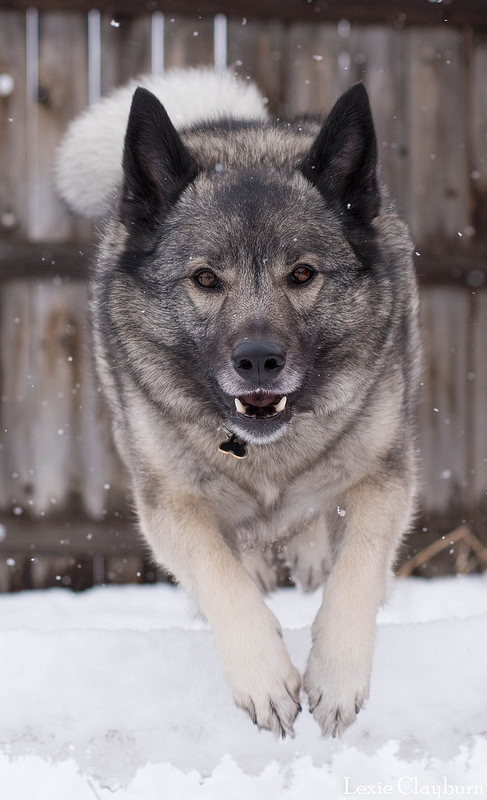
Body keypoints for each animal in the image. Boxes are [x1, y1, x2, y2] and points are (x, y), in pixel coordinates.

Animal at [59, 69, 422, 736]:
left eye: (302, 274)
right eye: (205, 278)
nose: (258, 360)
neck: (267, 453)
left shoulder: (385, 475)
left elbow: (358, 564)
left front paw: (336, 676)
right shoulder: (168, 502)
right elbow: (217, 571)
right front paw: (264, 676)